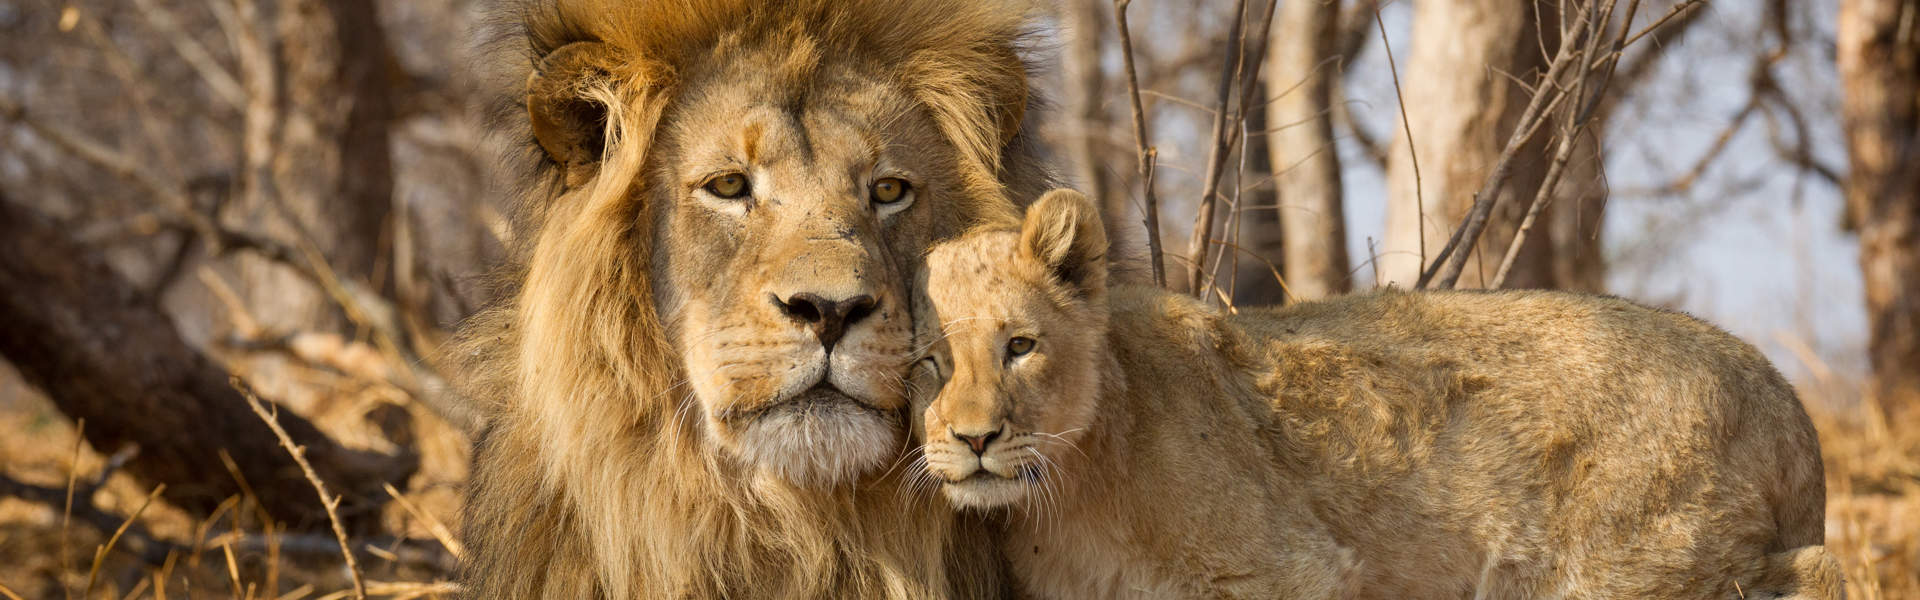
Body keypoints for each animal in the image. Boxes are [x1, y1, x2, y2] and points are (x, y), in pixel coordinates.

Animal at [911, 189, 1845, 599]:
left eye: (1020, 346)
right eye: (926, 360)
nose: (975, 439)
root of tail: (1782, 396)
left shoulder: (1290, 570)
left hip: (1623, 572)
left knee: (1819, 569)